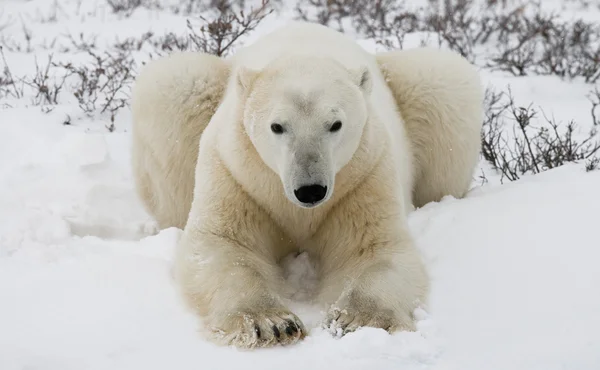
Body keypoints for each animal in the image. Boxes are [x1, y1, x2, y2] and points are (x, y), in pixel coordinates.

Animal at [130, 21, 482, 348]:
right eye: (277, 126)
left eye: (335, 124)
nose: (310, 190)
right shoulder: (237, 174)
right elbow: (223, 245)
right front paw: (270, 323)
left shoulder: (363, 175)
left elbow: (373, 248)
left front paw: (357, 319)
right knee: (173, 84)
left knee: (444, 80)